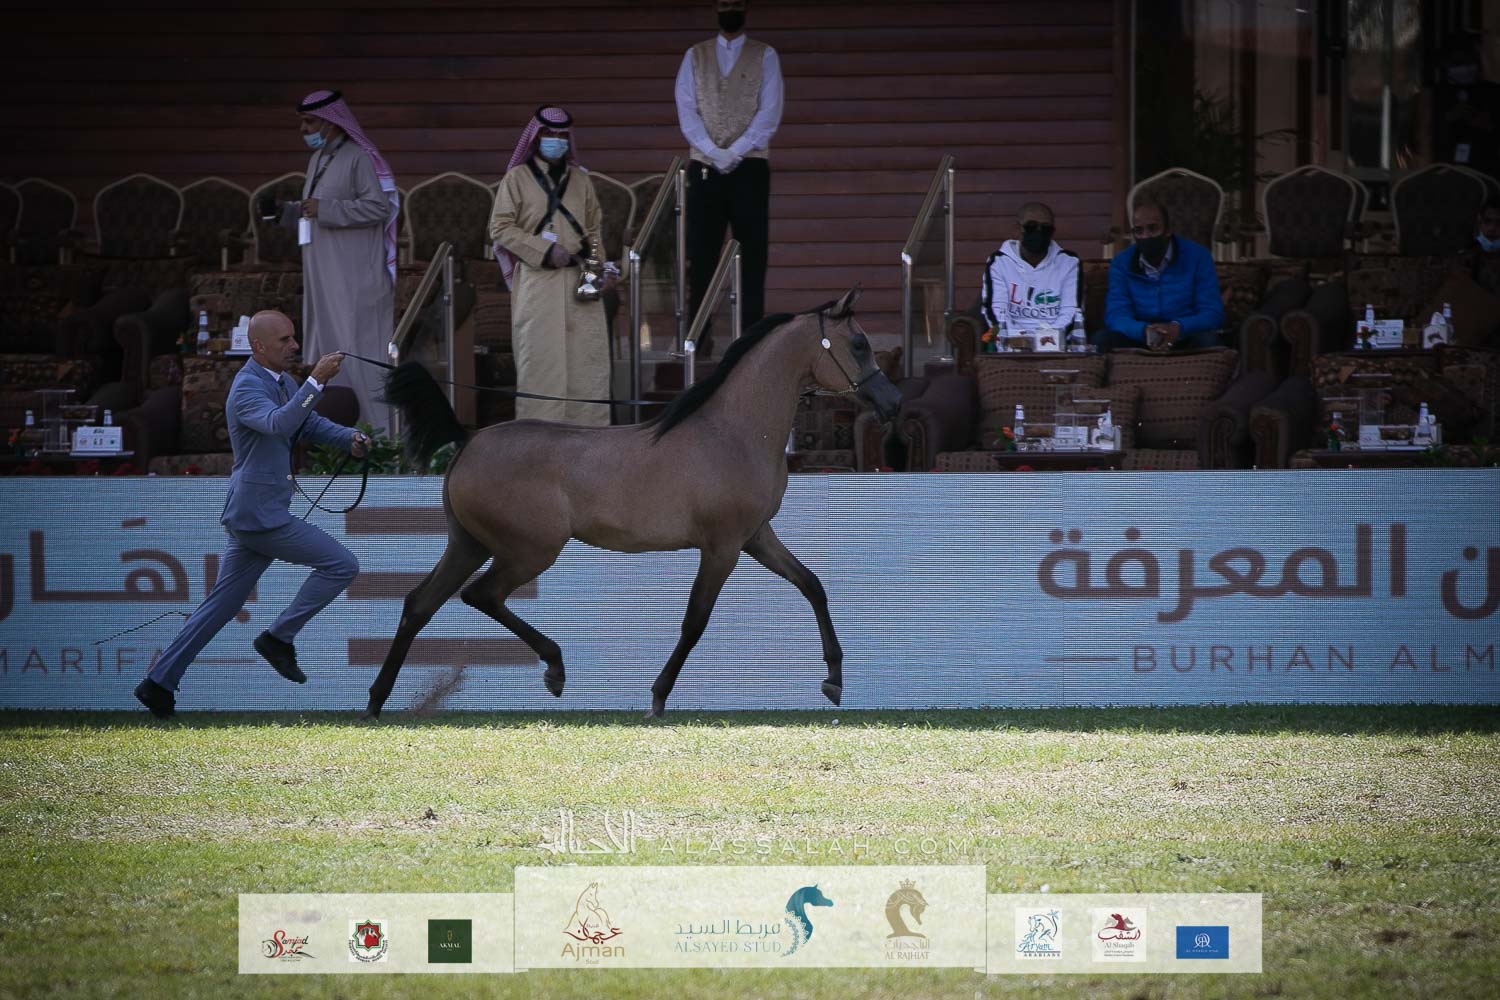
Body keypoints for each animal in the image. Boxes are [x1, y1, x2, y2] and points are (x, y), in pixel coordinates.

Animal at [364, 286, 902, 720]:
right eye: (859, 344)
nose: (891, 403)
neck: (732, 432)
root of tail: (467, 441)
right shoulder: (722, 545)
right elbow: (694, 621)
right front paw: (657, 698)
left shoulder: (756, 537)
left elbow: (813, 586)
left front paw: (833, 680)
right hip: (528, 551)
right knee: (481, 596)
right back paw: (554, 668)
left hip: (468, 545)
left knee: (419, 604)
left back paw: (376, 700)